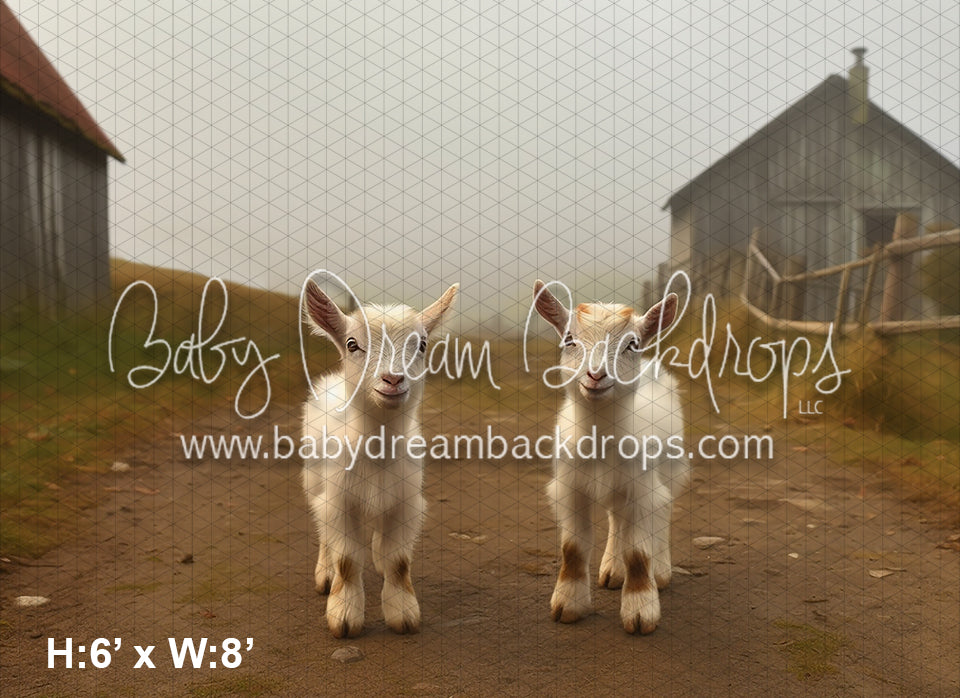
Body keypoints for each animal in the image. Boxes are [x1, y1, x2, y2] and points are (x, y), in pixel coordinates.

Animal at [301, 281, 458, 638]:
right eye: (352, 344)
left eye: (422, 344)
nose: (393, 379)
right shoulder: (339, 500)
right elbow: (347, 559)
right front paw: (344, 616)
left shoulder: (406, 502)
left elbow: (398, 561)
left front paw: (403, 613)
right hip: (314, 480)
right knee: (322, 529)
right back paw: (324, 573)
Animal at [533, 281, 688, 634]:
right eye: (569, 339)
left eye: (632, 344)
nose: (596, 375)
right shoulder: (570, 488)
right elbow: (573, 549)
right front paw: (568, 605)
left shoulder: (643, 489)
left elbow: (638, 552)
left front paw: (641, 611)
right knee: (618, 518)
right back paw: (612, 570)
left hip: (670, 471)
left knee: (664, 513)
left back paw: (661, 571)